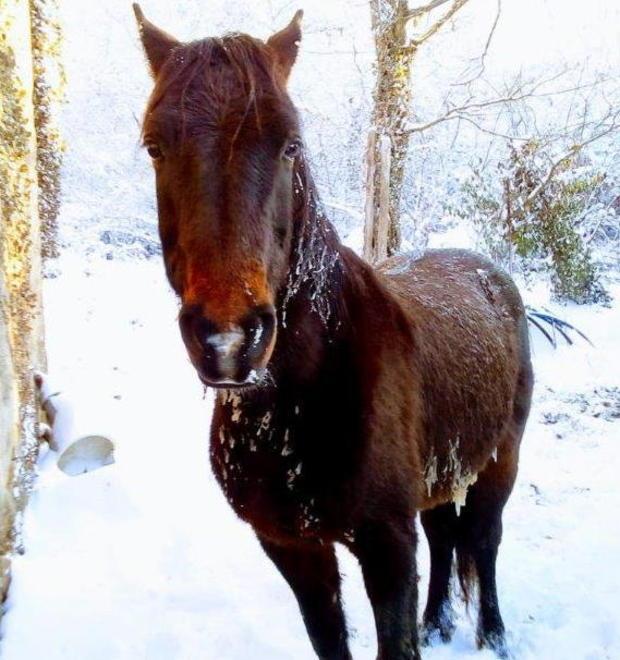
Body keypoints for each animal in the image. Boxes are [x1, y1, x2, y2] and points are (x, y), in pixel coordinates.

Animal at [133, 6, 533, 659]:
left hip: (501, 459)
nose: (229, 340)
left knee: (484, 538)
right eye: (154, 146)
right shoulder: (292, 546)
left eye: (290, 144)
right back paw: (438, 620)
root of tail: (488, 272)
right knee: (445, 535)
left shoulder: (388, 547)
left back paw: (493, 634)